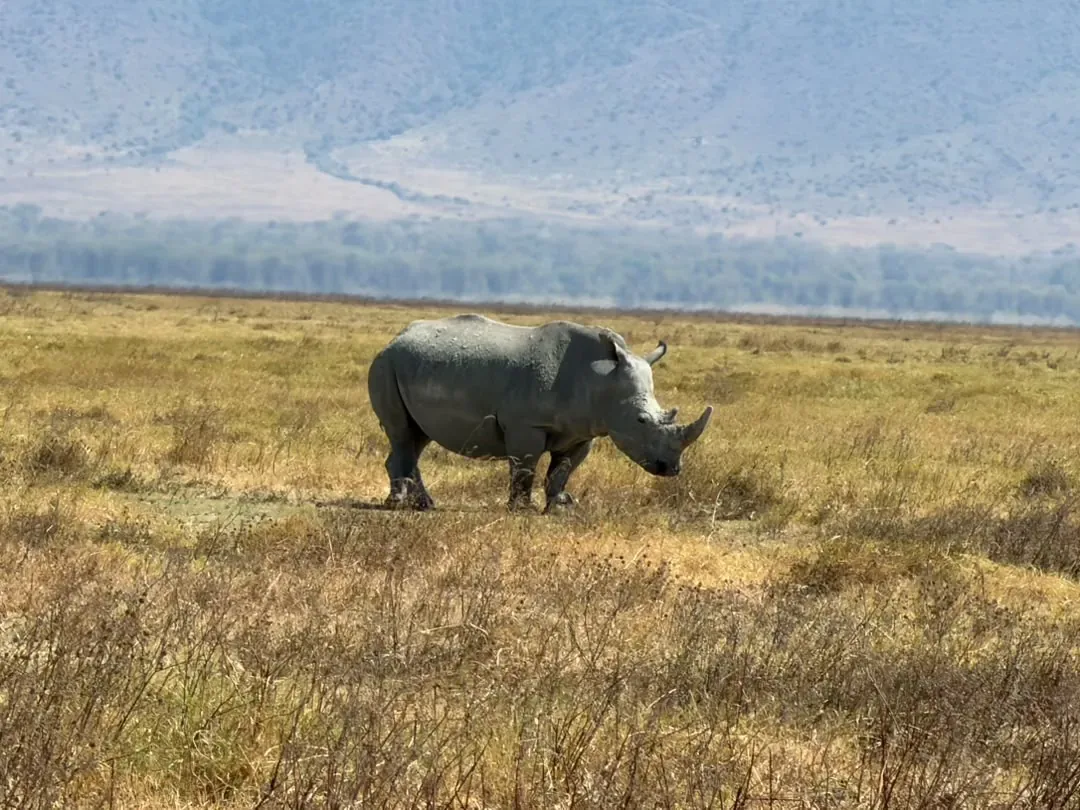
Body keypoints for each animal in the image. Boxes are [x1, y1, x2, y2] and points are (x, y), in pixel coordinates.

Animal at [366, 314, 713, 513]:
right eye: (641, 421)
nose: (672, 469)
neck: (602, 381)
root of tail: (395, 338)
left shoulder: (584, 430)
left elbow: (563, 470)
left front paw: (561, 506)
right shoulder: (526, 424)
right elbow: (525, 466)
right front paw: (522, 508)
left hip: (407, 365)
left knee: (417, 436)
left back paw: (422, 504)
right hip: (386, 365)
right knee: (402, 434)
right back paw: (401, 505)